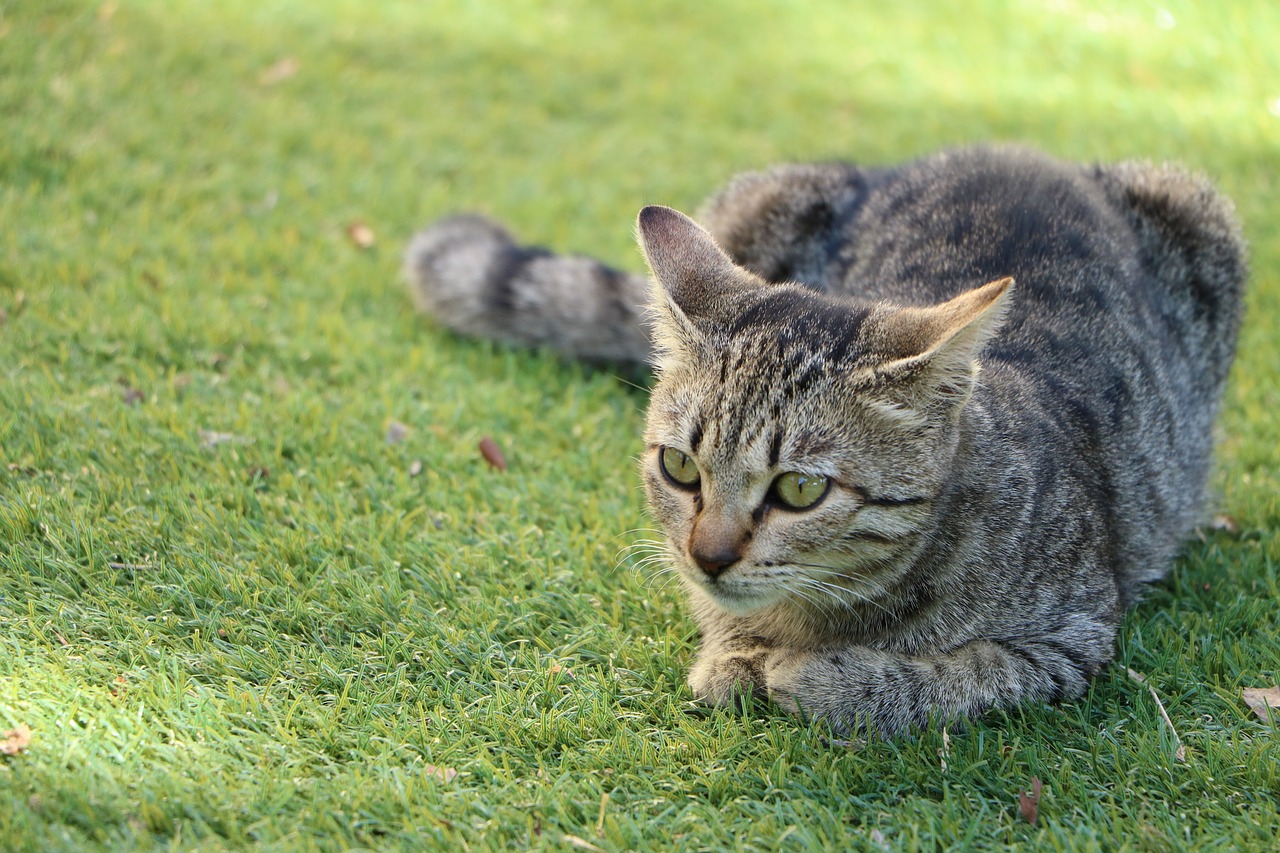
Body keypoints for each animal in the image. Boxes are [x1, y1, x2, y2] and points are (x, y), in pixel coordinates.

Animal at [404, 144, 1244, 732]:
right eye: (680, 467)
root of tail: (1017, 150)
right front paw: (733, 654)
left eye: (800, 488)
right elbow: (715, 616)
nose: (710, 555)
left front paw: (823, 674)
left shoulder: (1069, 639)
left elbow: (955, 674)